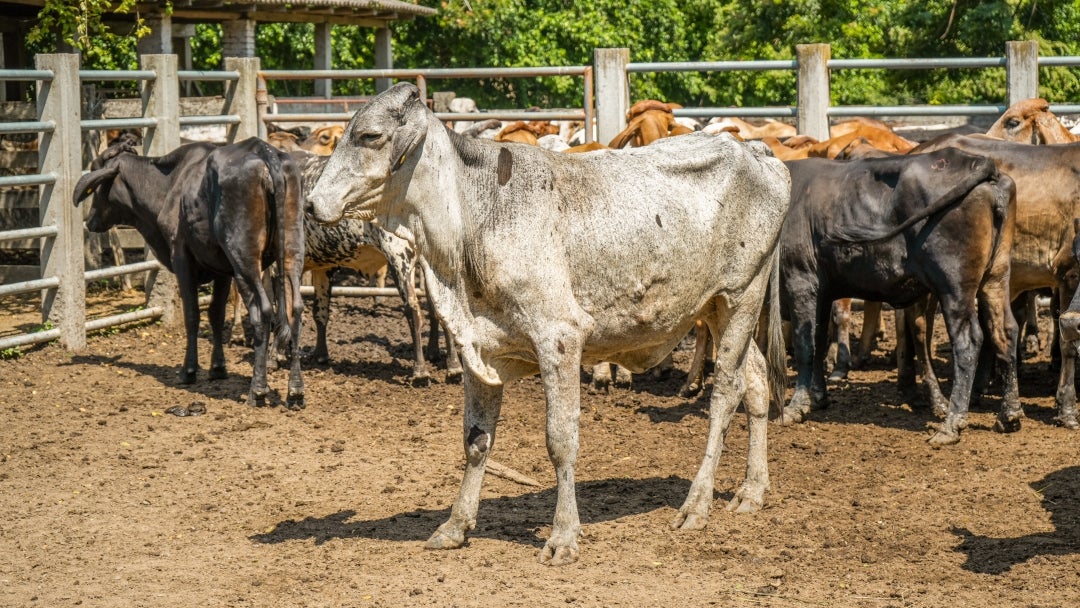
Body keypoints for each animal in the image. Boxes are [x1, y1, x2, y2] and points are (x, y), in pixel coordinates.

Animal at [73, 135, 306, 406]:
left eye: (97, 176)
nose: (90, 220)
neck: (169, 185)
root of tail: (263, 149)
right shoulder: (222, 268)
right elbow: (215, 314)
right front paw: (218, 368)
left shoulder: (181, 257)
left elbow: (192, 314)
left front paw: (189, 370)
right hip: (291, 250)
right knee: (295, 308)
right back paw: (295, 389)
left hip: (244, 258)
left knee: (263, 310)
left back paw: (257, 389)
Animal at [308, 83, 790, 570]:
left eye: (370, 135)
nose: (310, 203)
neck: (476, 218)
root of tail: (754, 150)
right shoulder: (478, 348)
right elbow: (475, 440)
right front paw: (455, 525)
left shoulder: (559, 338)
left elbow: (560, 440)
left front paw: (563, 535)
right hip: (713, 307)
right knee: (755, 381)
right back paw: (752, 490)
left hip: (740, 297)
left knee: (726, 393)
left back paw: (696, 504)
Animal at [777, 144, 1019, 444]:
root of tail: (979, 163)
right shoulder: (822, 292)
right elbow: (819, 339)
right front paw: (818, 397)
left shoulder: (801, 282)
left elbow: (805, 345)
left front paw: (796, 407)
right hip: (996, 277)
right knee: (1005, 331)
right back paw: (1009, 415)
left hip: (955, 286)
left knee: (968, 341)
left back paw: (951, 424)